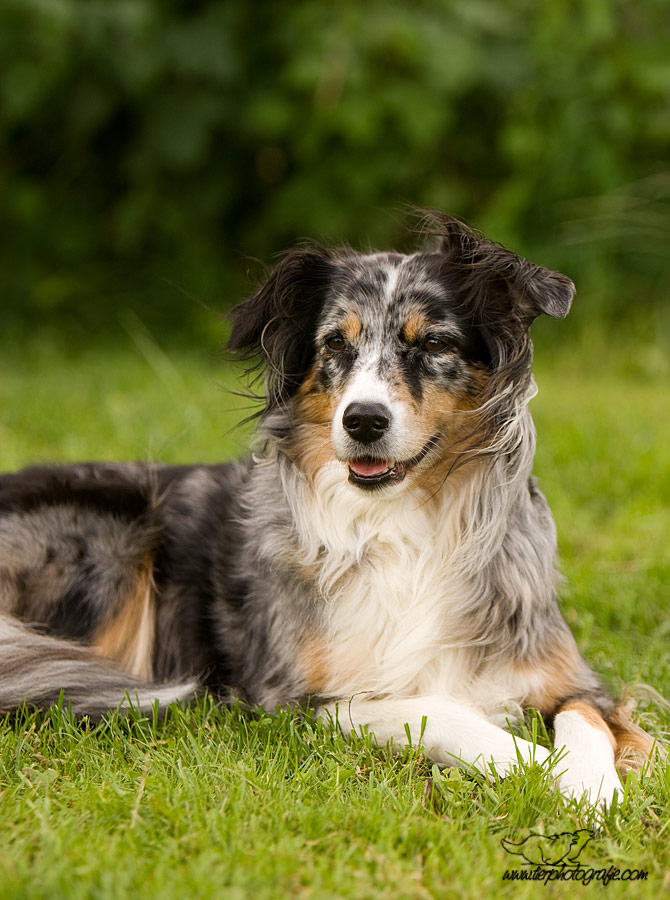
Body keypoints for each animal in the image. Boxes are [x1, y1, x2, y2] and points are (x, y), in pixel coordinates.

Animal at [0, 213, 660, 808]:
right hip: (112, 541)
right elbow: (438, 708)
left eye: (434, 343)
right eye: (336, 343)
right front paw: (536, 765)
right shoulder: (302, 699)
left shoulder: (570, 678)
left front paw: (591, 785)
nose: (363, 420)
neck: (402, 524)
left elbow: (586, 720)